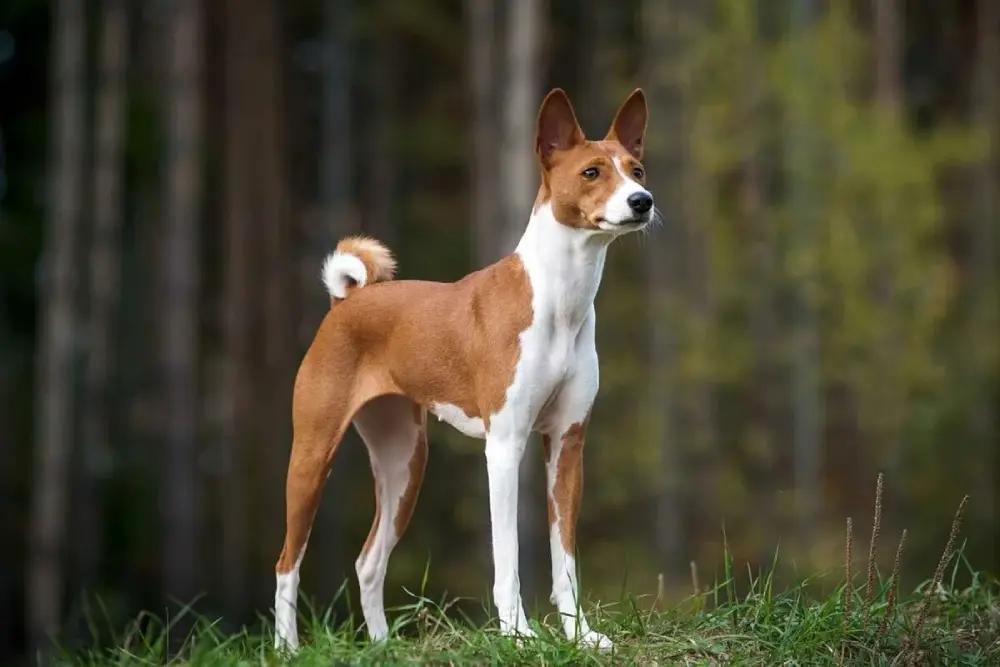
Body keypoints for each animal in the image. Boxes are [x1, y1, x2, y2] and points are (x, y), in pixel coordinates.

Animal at [274, 85, 656, 652]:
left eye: (637, 169)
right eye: (592, 172)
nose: (642, 201)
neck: (560, 300)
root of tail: (348, 300)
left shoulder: (568, 444)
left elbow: (564, 559)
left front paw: (580, 635)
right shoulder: (504, 446)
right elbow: (507, 560)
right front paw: (518, 634)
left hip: (404, 465)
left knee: (368, 561)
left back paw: (384, 648)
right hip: (311, 456)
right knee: (287, 562)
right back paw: (287, 648)